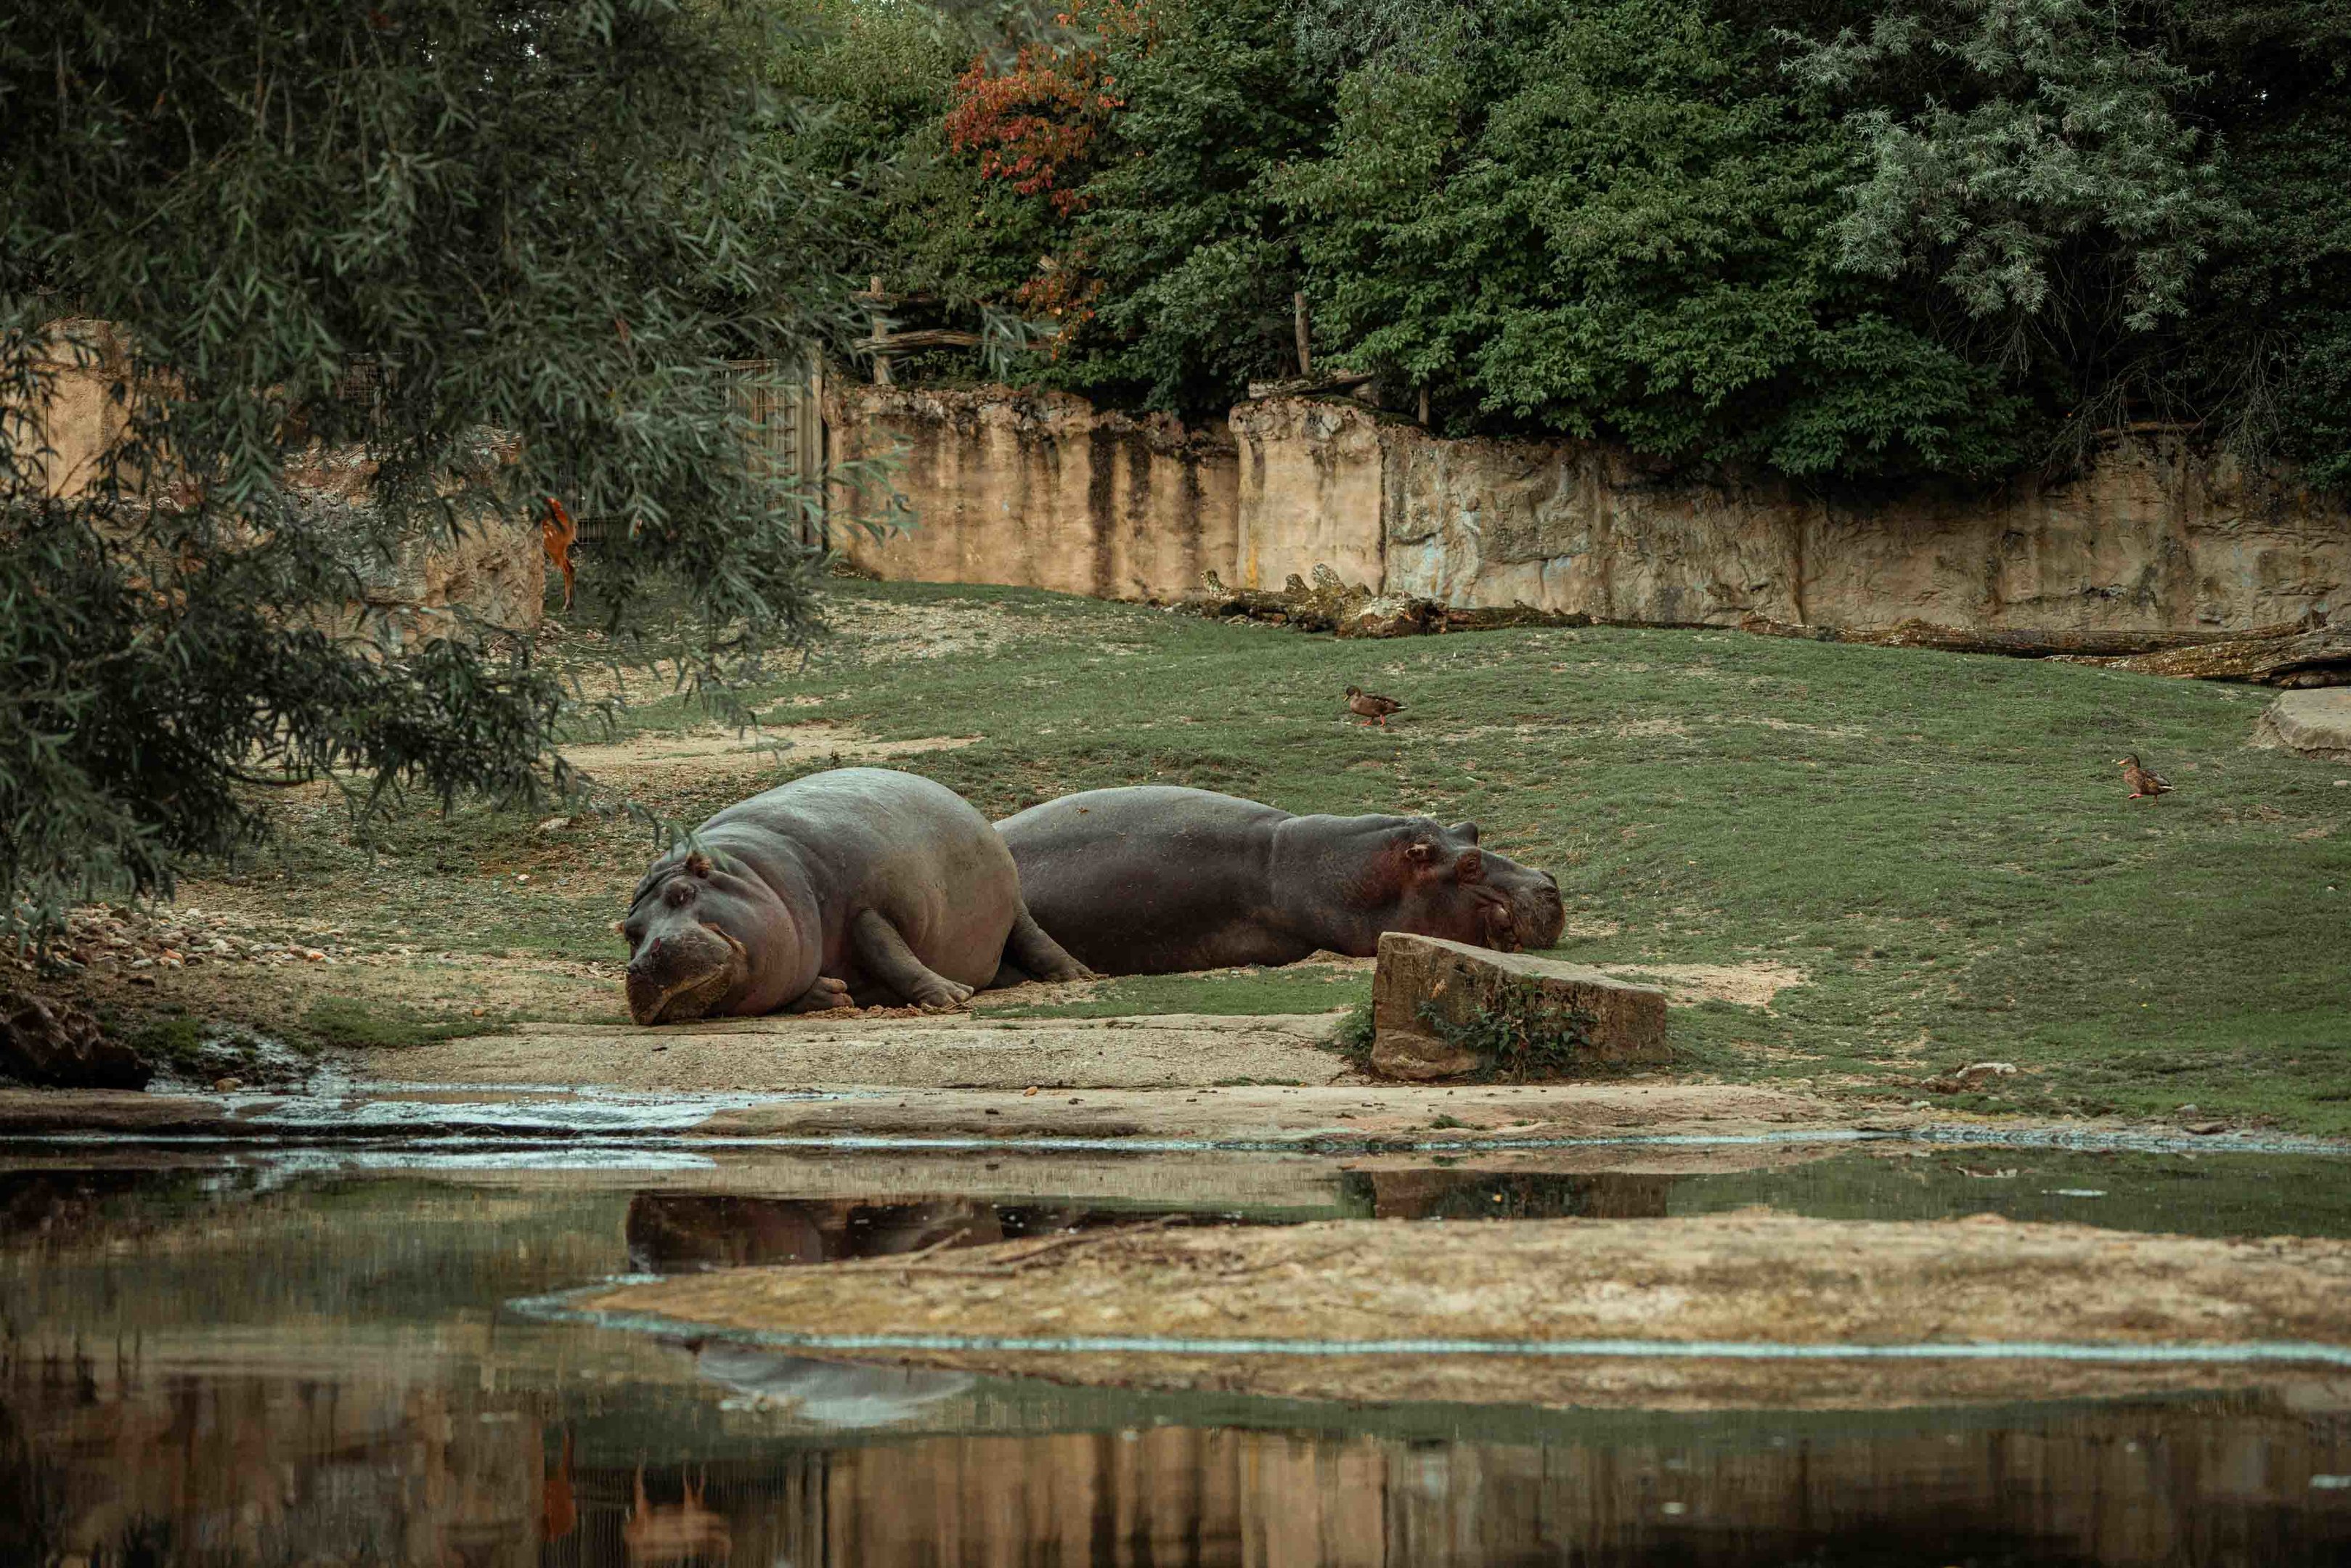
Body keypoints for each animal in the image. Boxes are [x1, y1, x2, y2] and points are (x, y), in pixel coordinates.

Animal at [622, 767, 1089, 1023]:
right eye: (629, 931)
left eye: (683, 893)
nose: (640, 965)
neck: (753, 875)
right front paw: (834, 994)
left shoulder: (866, 905)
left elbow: (888, 950)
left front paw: (950, 997)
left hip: (1013, 904)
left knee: (1032, 936)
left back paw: (1076, 975)